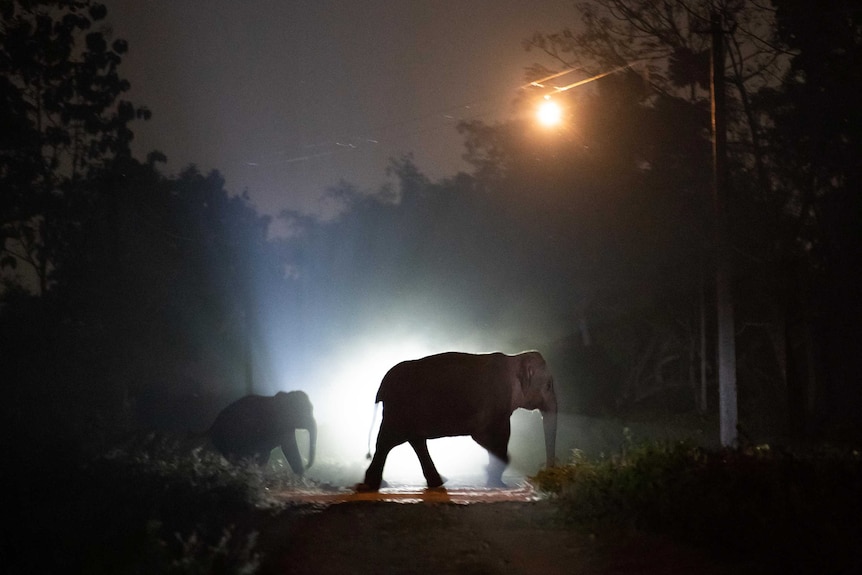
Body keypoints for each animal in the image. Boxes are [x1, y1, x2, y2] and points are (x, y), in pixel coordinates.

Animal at [358, 352, 560, 490]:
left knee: (412, 441)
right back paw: (373, 485)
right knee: (387, 442)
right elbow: (486, 437)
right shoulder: (496, 399)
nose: (547, 476)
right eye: (549, 385)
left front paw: (494, 480)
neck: (515, 359)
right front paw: (496, 481)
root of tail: (382, 386)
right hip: (399, 410)